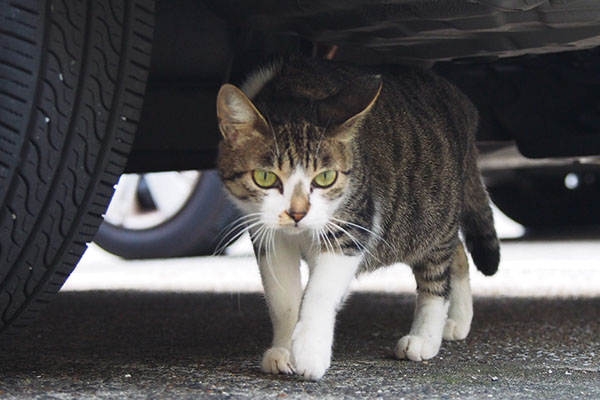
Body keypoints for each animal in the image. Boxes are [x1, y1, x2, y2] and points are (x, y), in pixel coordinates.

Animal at [217, 55, 502, 378]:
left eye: (325, 177)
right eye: (265, 177)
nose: (297, 213)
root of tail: (461, 101)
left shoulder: (351, 227)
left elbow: (319, 293)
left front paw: (310, 354)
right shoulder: (268, 236)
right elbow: (283, 298)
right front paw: (283, 349)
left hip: (431, 214)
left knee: (437, 274)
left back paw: (425, 338)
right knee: (459, 254)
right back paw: (457, 321)